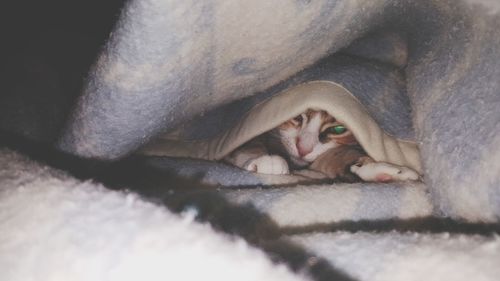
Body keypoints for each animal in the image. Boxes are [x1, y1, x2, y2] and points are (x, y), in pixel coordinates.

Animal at [225, 107, 420, 182]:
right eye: (297, 116)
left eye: (339, 129)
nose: (303, 149)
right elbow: (250, 144)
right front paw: (265, 160)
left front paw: (382, 171)